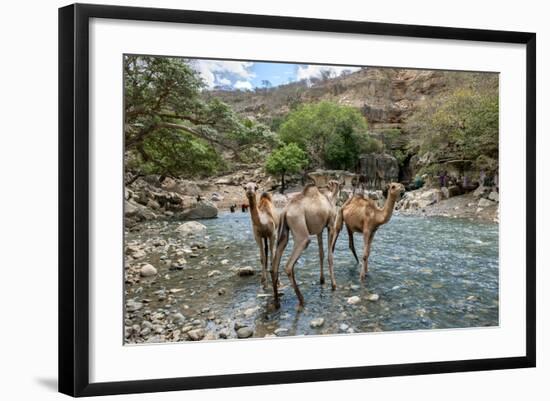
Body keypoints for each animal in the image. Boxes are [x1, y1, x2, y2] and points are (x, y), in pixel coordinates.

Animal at [270, 180, 340, 308]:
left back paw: (277, 302)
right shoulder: (331, 226)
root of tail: (285, 212)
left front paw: (322, 280)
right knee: (289, 266)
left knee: (274, 267)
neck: (329, 199)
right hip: (301, 234)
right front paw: (334, 285)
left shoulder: (319, 229)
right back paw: (301, 299)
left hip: (284, 234)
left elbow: (321, 253)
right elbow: (330, 256)